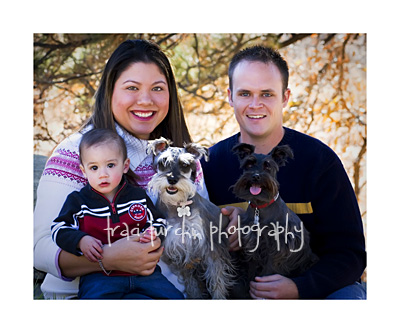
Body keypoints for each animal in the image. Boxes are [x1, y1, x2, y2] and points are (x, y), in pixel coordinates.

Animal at [146, 137, 234, 298]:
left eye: (185, 165)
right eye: (163, 162)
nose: (172, 179)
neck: (177, 205)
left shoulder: (211, 249)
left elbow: (217, 280)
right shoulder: (179, 253)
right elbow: (192, 285)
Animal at [230, 143, 318, 298]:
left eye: (268, 166)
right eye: (249, 164)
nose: (256, 176)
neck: (260, 208)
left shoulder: (278, 247)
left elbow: (268, 271)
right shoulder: (252, 244)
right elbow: (251, 269)